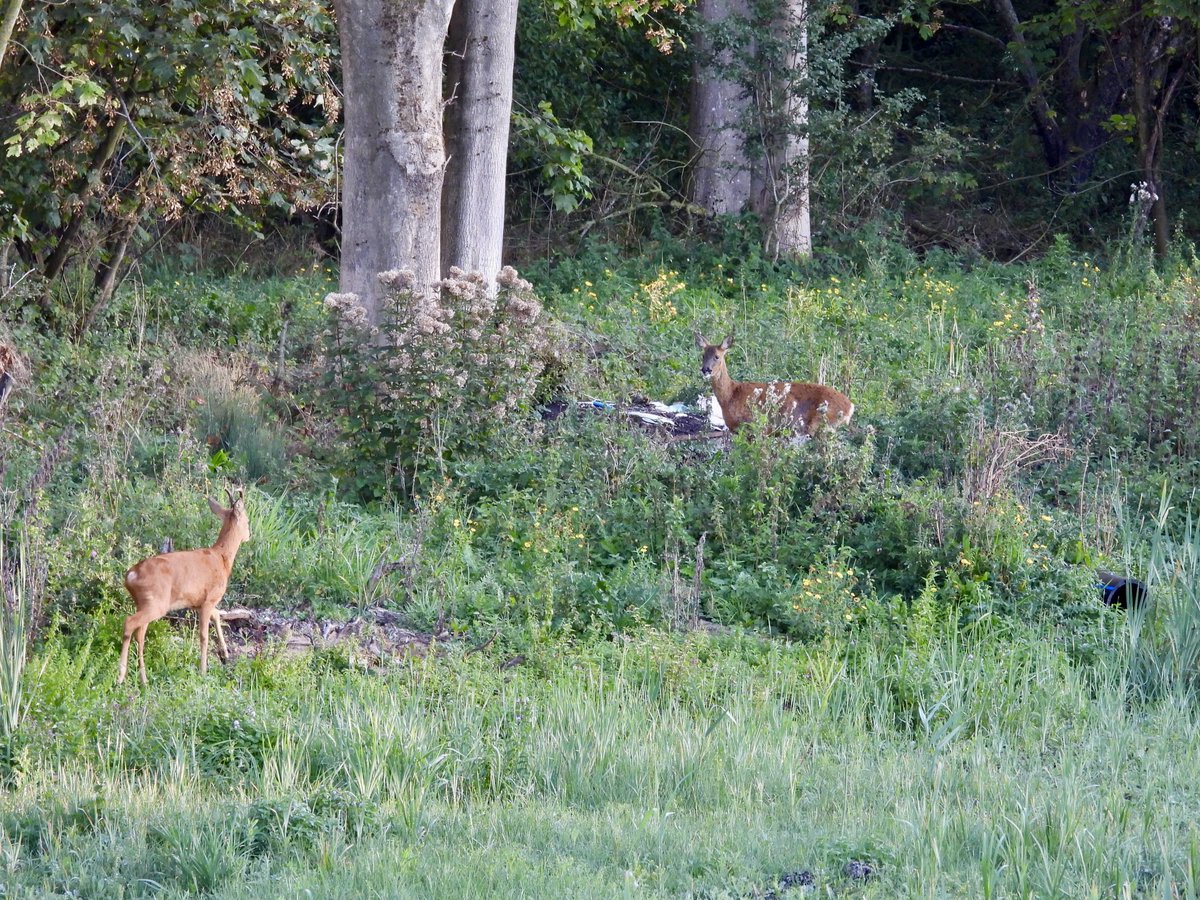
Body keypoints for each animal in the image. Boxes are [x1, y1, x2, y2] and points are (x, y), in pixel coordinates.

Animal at [117, 487, 250, 685]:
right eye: (247, 520)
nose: (249, 535)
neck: (221, 558)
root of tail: (131, 575)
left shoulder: (199, 602)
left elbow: (218, 615)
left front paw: (225, 655)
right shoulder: (209, 599)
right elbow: (203, 636)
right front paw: (203, 671)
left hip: (144, 603)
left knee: (139, 634)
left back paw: (143, 679)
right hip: (156, 603)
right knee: (129, 623)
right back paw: (120, 676)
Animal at [694, 331, 854, 439]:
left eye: (717, 357)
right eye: (703, 355)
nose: (705, 369)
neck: (731, 395)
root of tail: (850, 406)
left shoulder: (757, 427)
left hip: (821, 424)